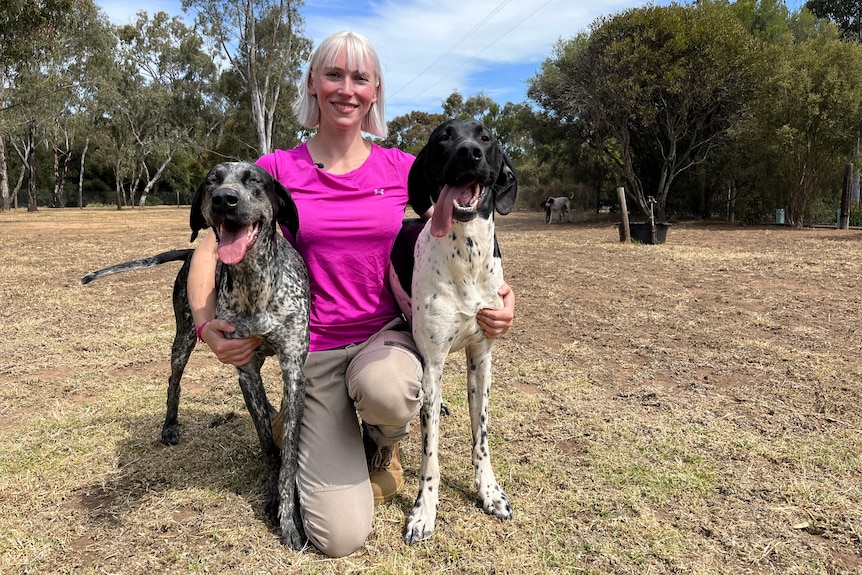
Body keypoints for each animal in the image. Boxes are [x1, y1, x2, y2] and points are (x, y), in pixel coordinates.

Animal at [82, 161, 310, 548]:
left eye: (254, 179)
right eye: (211, 182)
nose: (224, 199)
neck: (253, 284)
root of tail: (190, 255)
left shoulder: (292, 370)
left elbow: (289, 452)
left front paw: (289, 514)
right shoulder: (245, 368)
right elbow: (268, 444)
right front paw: (274, 499)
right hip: (184, 338)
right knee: (173, 382)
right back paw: (170, 425)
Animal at [392, 120, 520, 544]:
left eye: (486, 138)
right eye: (442, 138)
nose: (468, 153)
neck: (467, 253)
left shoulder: (481, 360)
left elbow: (481, 437)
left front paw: (490, 492)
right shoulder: (433, 362)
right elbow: (430, 454)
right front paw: (423, 512)